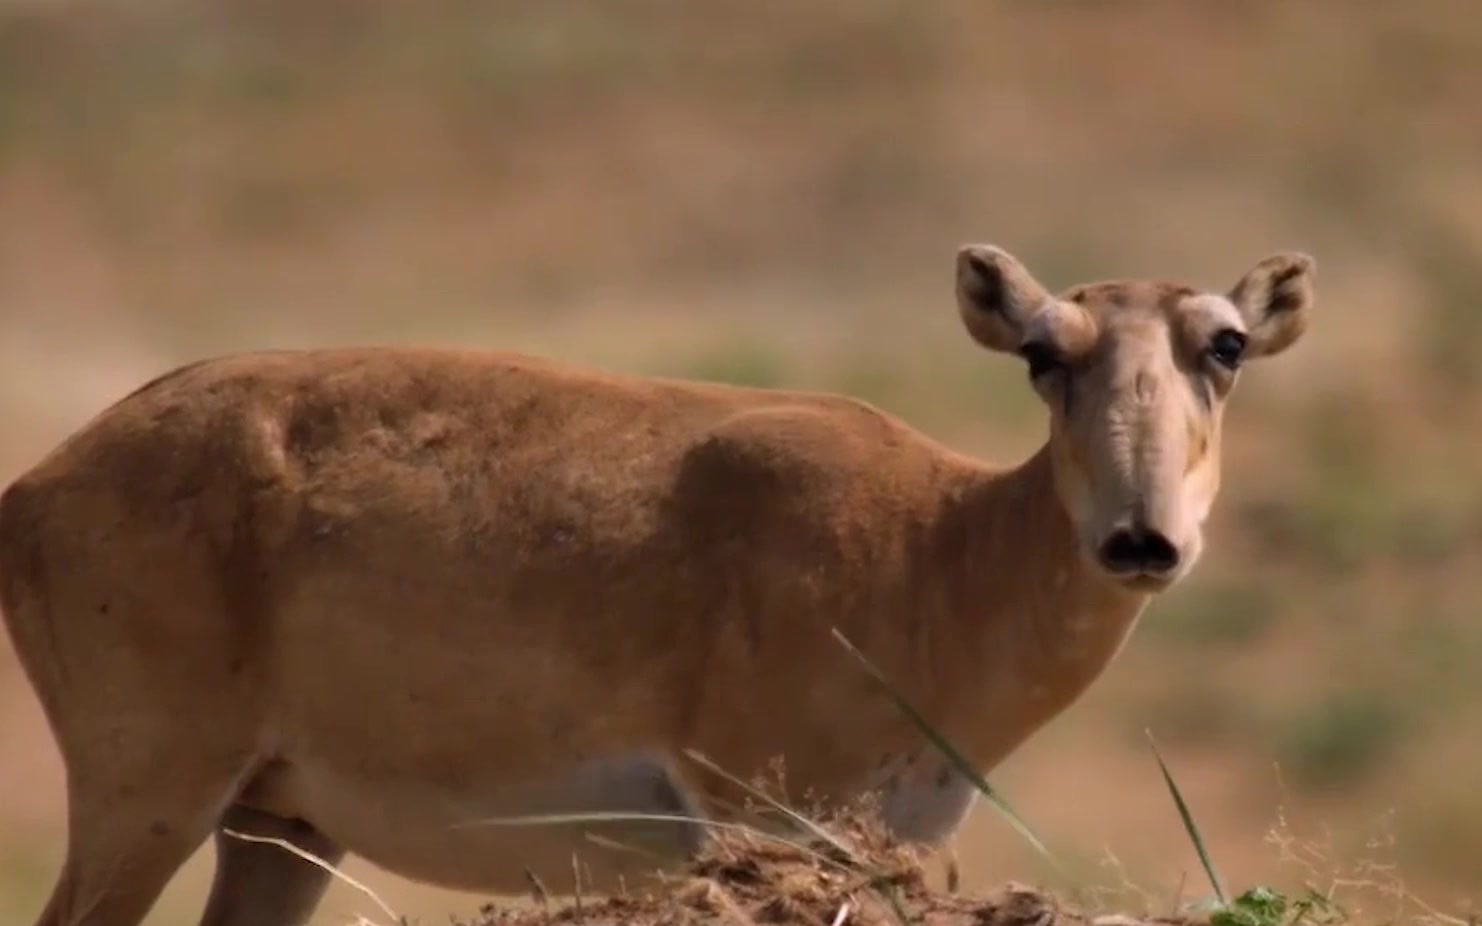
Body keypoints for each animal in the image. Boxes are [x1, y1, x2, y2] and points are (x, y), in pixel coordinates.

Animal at [2, 244, 1321, 924]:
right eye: (1046, 350)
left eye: (1225, 342)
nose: (1140, 539)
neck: (937, 544)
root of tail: (32, 489)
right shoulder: (756, 812)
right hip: (147, 793)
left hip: (281, 826)